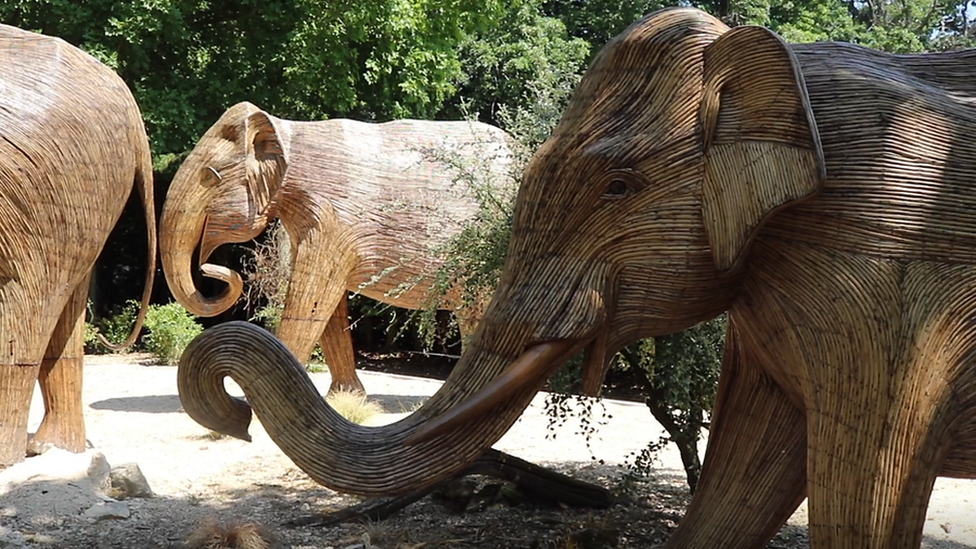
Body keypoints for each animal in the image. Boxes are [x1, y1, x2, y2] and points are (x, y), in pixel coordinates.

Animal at [160, 103, 516, 394]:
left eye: (209, 176)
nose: (210, 267)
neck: (288, 130)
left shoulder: (334, 217)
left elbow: (312, 297)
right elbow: (328, 308)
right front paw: (347, 397)